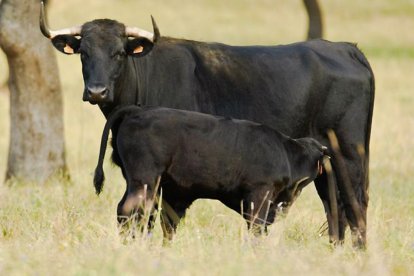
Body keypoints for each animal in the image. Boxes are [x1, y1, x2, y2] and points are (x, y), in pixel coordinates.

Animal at [94, 105, 330, 239]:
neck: (286, 152)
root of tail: (138, 111)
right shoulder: (259, 194)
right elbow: (256, 226)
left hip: (137, 182)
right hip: (144, 180)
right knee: (130, 211)